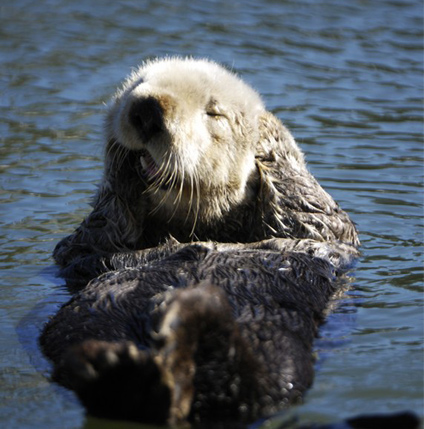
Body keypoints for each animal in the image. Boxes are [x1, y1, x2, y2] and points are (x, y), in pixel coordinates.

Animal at [41, 56, 362, 424]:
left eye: (213, 113)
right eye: (138, 84)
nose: (147, 109)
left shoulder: (324, 234)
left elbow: (314, 212)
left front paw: (268, 130)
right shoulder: (84, 248)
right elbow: (100, 226)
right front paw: (120, 161)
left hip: (278, 349)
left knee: (249, 387)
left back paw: (184, 319)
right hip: (85, 331)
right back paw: (124, 372)